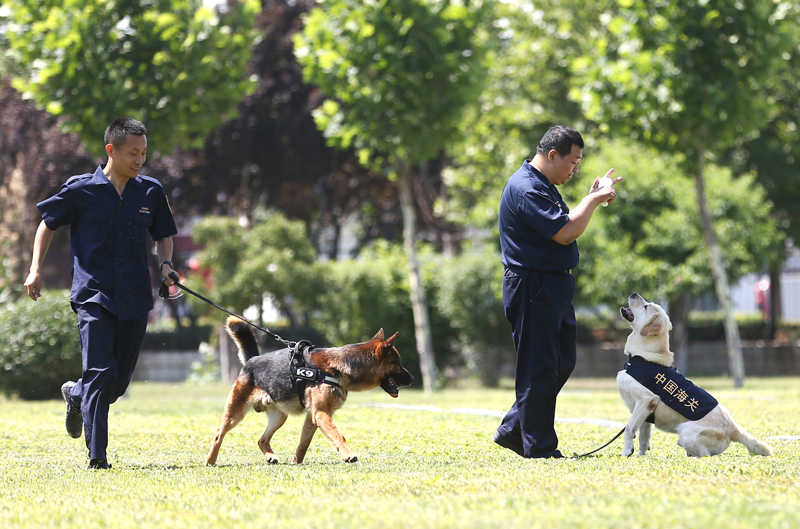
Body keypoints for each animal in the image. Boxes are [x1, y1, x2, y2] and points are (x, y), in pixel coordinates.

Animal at [203, 316, 416, 464]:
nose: (413, 378)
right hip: (235, 413)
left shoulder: (313, 416)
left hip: (280, 417)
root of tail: (251, 361)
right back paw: (210, 461)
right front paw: (348, 455)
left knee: (261, 440)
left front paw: (296, 462)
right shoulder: (320, 414)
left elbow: (303, 443)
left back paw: (270, 456)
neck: (339, 367)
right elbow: (338, 435)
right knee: (218, 433)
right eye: (397, 362)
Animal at [616, 290, 772, 456]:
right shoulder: (646, 413)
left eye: (646, 306)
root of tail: (733, 428)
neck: (641, 358)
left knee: (705, 455)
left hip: (686, 430)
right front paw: (640, 456)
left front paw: (626, 453)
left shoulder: (646, 400)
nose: (634, 293)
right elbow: (643, 437)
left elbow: (629, 429)